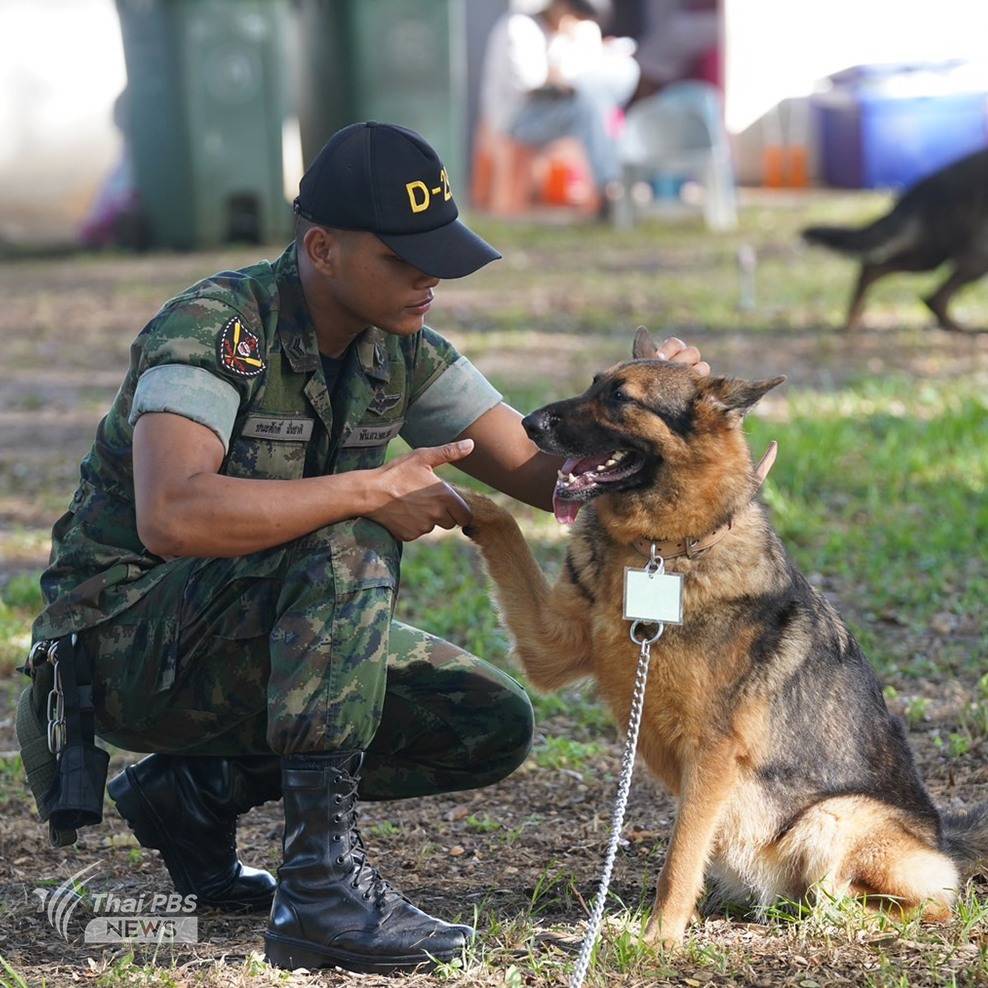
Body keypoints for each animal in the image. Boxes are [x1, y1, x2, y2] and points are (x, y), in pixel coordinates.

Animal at [464, 334, 988, 948]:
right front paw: (445, 490)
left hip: (832, 817)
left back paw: (831, 914)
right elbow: (504, 530)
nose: (527, 423)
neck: (658, 551)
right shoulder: (549, 646)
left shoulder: (711, 752)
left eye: (620, 397)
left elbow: (678, 856)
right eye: (594, 383)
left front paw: (659, 939)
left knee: (911, 904)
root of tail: (944, 839)